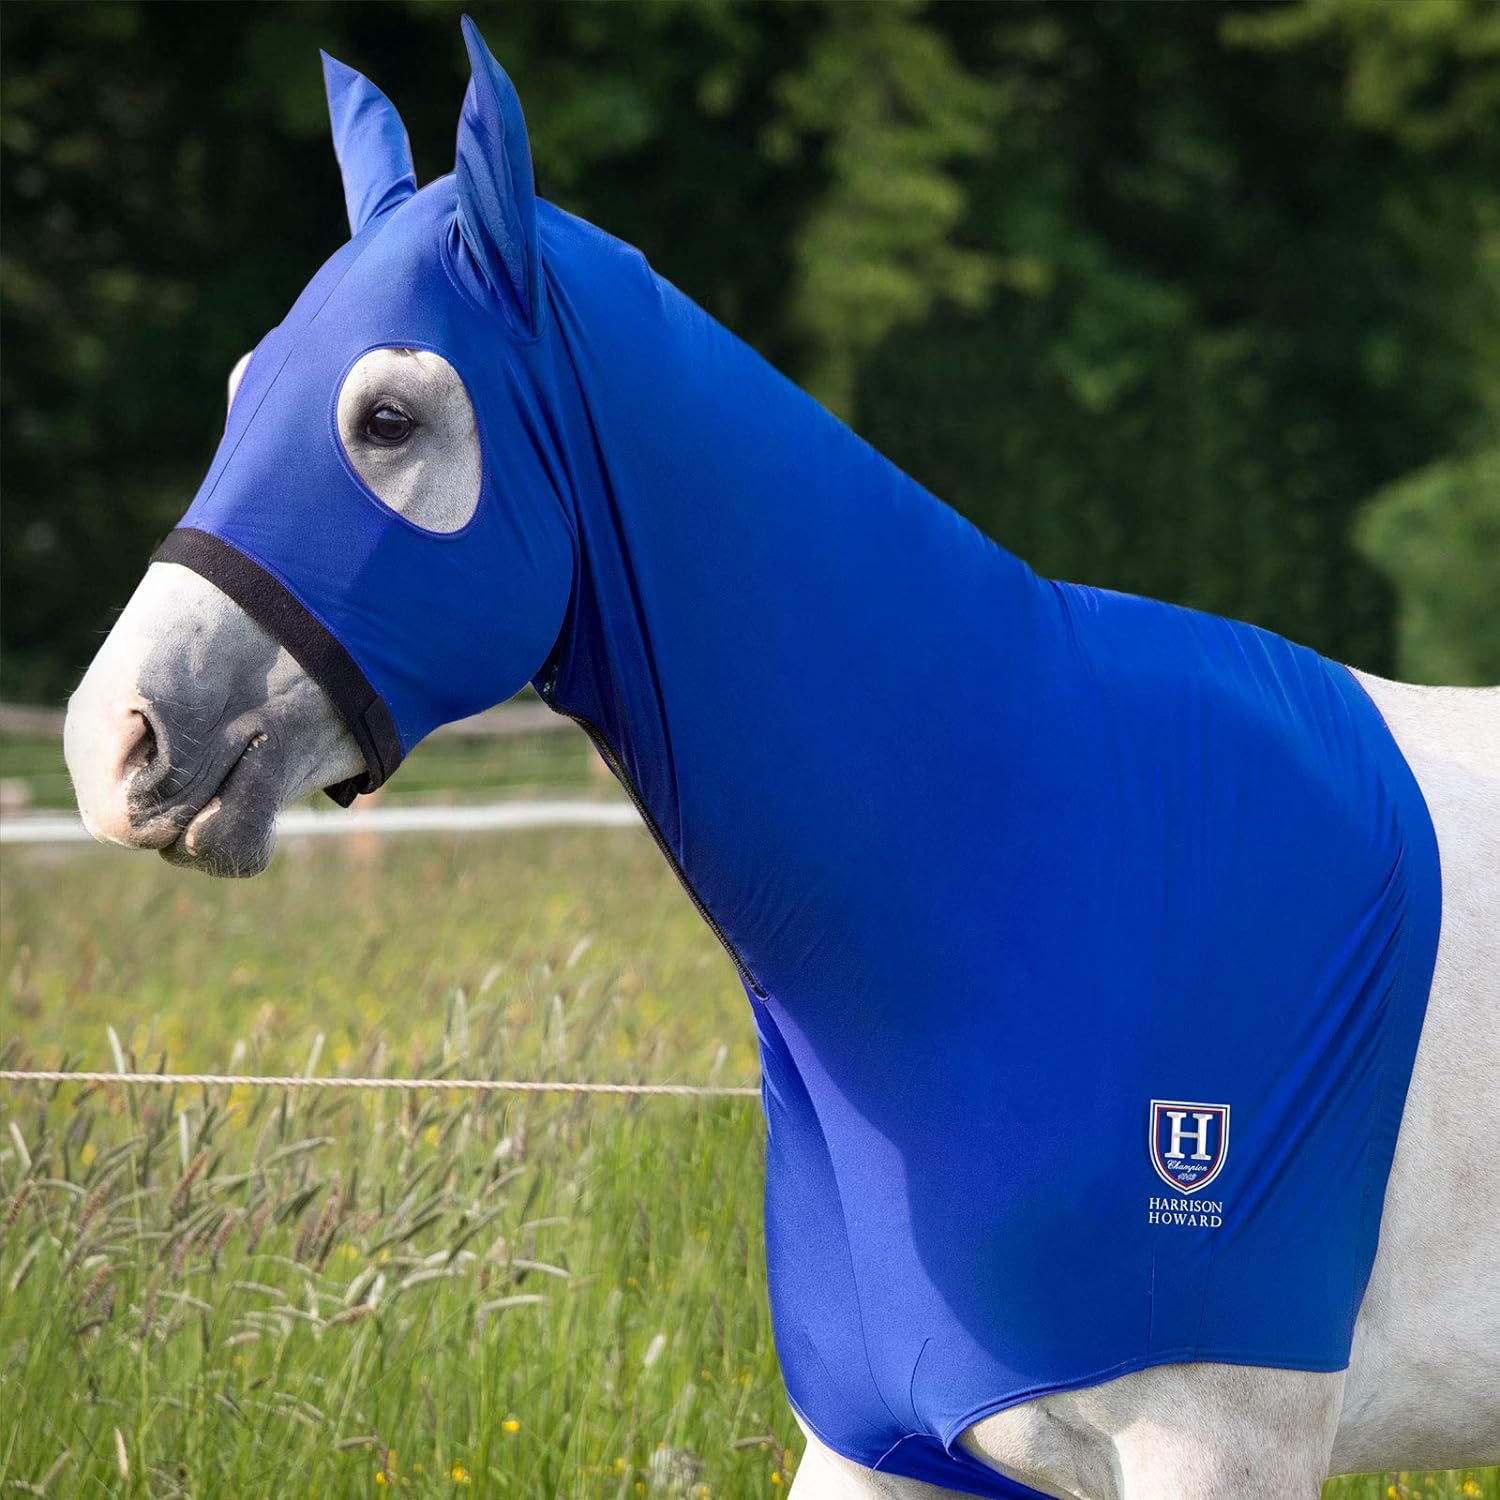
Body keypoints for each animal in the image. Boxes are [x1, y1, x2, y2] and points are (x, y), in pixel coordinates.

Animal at [63, 22, 1498, 1499]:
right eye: (241, 389)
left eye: (389, 418)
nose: (113, 740)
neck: (1033, 870)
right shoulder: (882, 1440)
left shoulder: (1219, 1446)